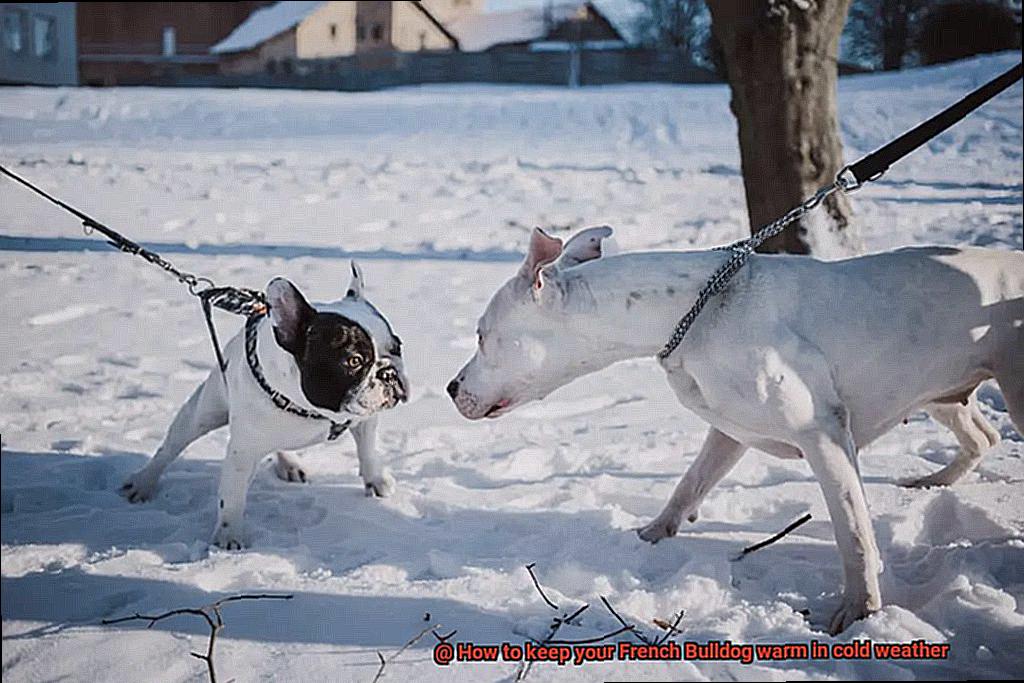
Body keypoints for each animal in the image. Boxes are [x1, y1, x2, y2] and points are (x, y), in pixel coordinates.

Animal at [120, 264, 407, 548]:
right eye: (354, 361)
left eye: (397, 347)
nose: (389, 373)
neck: (313, 410)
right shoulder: (243, 452)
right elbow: (232, 495)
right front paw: (228, 538)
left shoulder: (365, 418)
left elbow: (367, 450)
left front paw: (376, 480)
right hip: (204, 412)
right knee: (170, 447)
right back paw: (142, 483)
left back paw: (290, 464)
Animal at [450, 227, 1024, 634]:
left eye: (481, 335)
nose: (451, 388)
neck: (685, 314)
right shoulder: (727, 430)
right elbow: (690, 483)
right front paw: (651, 536)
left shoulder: (823, 436)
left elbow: (853, 531)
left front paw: (859, 612)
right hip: (942, 390)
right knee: (982, 435)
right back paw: (933, 481)